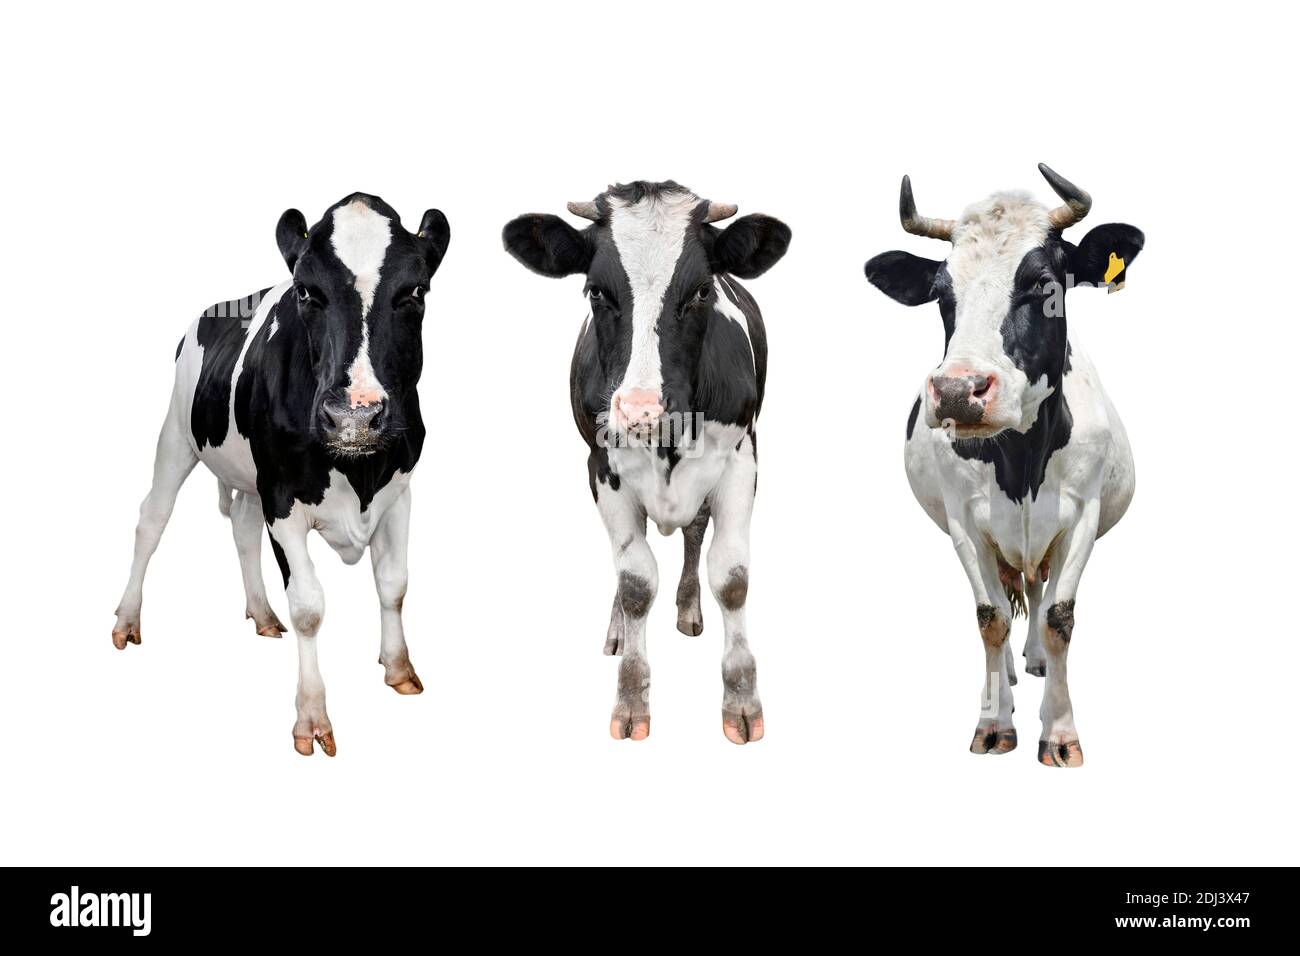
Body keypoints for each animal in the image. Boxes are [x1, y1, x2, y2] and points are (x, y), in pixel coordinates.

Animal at [112, 193, 451, 757]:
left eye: (415, 291)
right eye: (306, 291)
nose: (355, 415)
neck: (358, 471)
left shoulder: (399, 491)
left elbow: (394, 584)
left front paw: (399, 669)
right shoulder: (284, 499)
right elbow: (310, 605)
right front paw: (312, 717)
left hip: (251, 479)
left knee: (242, 529)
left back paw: (263, 614)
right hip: (177, 437)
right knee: (151, 521)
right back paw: (126, 619)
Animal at [502, 181, 790, 744]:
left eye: (701, 291)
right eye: (596, 291)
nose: (639, 408)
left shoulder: (742, 459)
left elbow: (731, 577)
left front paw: (742, 702)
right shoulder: (602, 468)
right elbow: (635, 582)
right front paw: (632, 699)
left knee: (694, 533)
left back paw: (688, 607)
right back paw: (618, 630)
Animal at [863, 165, 1143, 766]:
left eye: (1043, 284)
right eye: (941, 294)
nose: (956, 392)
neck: (1021, 464)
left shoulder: (1081, 516)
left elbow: (1059, 617)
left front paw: (1059, 732)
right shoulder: (965, 523)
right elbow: (989, 618)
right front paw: (994, 722)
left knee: (1036, 592)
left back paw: (1034, 660)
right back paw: (1011, 675)